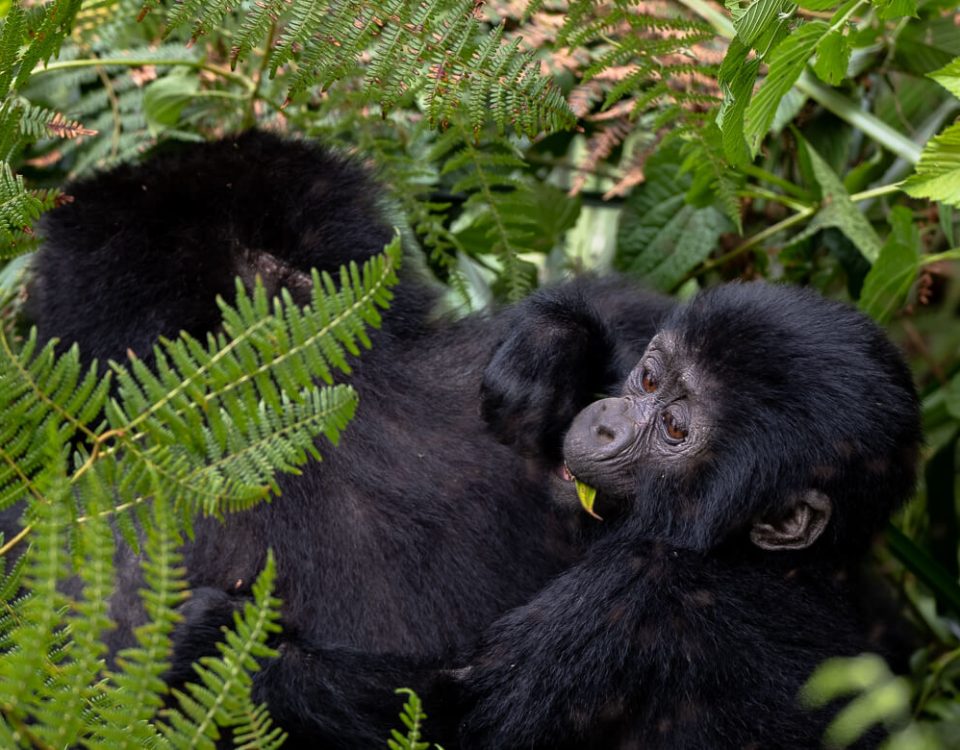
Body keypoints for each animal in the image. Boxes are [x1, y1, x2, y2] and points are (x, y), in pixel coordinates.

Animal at [458, 284, 924, 750]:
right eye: (649, 380)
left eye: (675, 429)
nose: (606, 424)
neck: (757, 557)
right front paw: (548, 347)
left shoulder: (633, 587)